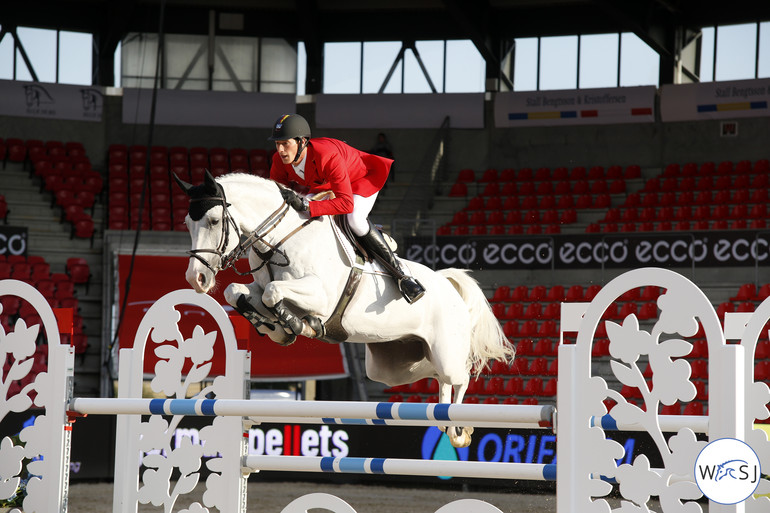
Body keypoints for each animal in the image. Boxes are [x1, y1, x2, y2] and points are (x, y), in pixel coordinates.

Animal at [173, 170, 510, 446]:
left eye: (214, 221)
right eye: (187, 223)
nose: (196, 278)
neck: (281, 239)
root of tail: (448, 284)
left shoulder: (321, 296)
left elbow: (273, 292)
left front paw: (298, 326)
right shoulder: (259, 287)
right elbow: (237, 292)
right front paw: (275, 328)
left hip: (445, 351)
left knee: (461, 376)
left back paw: (459, 430)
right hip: (394, 366)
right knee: (437, 378)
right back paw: (444, 417)